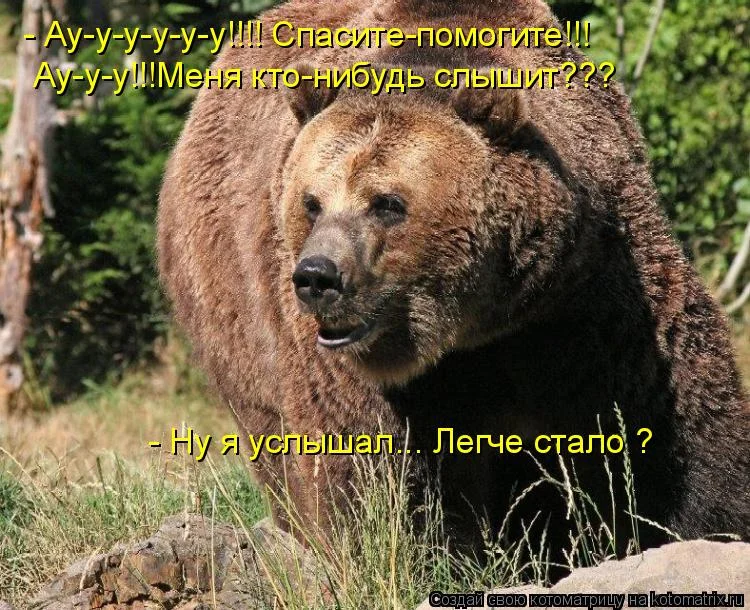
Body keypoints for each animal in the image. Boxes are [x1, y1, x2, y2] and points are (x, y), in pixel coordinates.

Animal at [157, 0, 750, 557]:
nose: (318, 277)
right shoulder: (353, 366)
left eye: (387, 203)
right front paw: (409, 545)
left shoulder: (589, 292)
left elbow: (663, 422)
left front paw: (699, 523)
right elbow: (371, 459)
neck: (477, 326)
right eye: (311, 201)